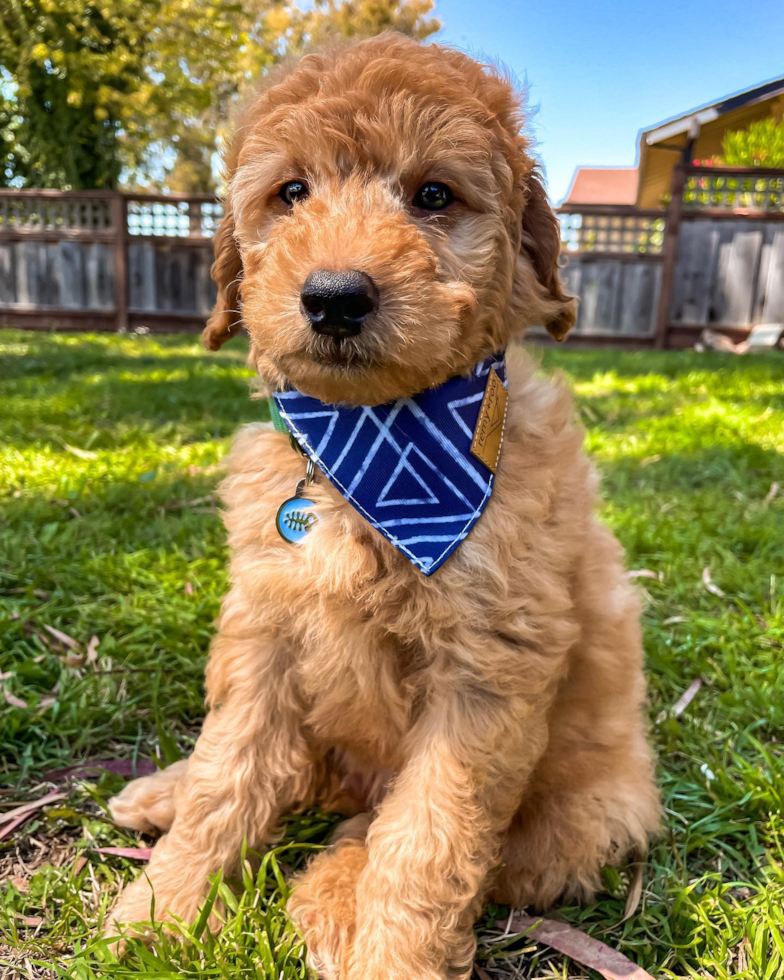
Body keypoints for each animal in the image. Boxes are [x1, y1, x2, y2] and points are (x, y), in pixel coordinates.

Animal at [108, 34, 660, 980]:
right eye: (292, 193)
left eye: (434, 195)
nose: (334, 296)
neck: (366, 449)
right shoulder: (264, 624)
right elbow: (228, 771)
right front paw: (163, 910)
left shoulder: (486, 677)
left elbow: (428, 838)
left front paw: (392, 958)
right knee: (289, 772)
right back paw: (160, 796)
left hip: (580, 814)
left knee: (384, 827)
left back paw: (330, 901)